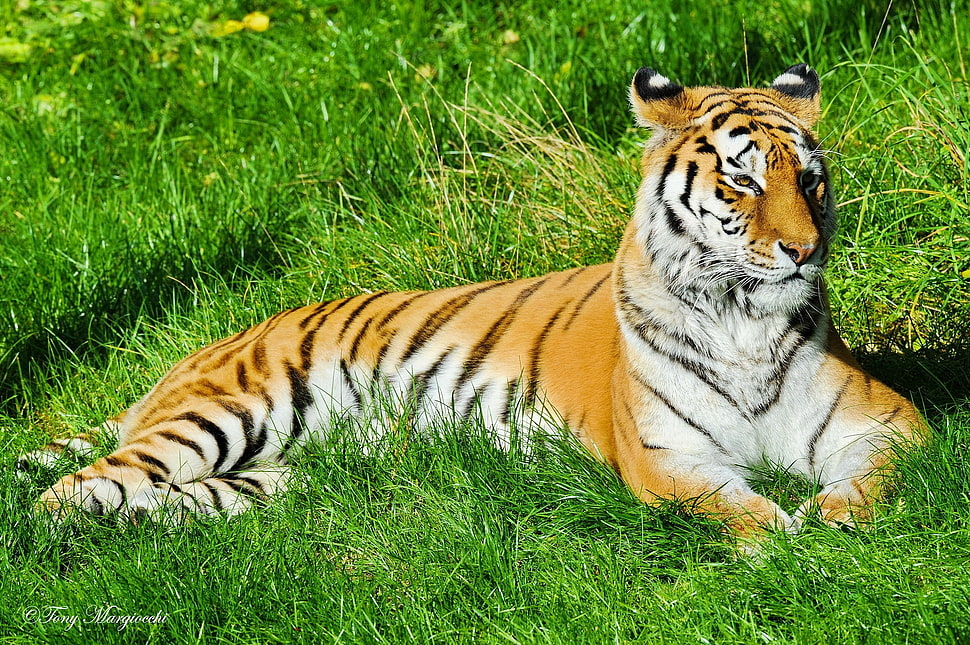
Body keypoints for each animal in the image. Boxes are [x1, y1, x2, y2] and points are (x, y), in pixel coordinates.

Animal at [18, 64, 927, 544]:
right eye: (743, 180)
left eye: (810, 179)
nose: (803, 250)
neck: (745, 321)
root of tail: (194, 353)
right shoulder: (666, 457)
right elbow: (738, 508)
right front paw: (781, 539)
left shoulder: (885, 421)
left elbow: (871, 479)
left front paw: (832, 519)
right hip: (222, 412)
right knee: (63, 493)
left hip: (266, 480)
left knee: (154, 501)